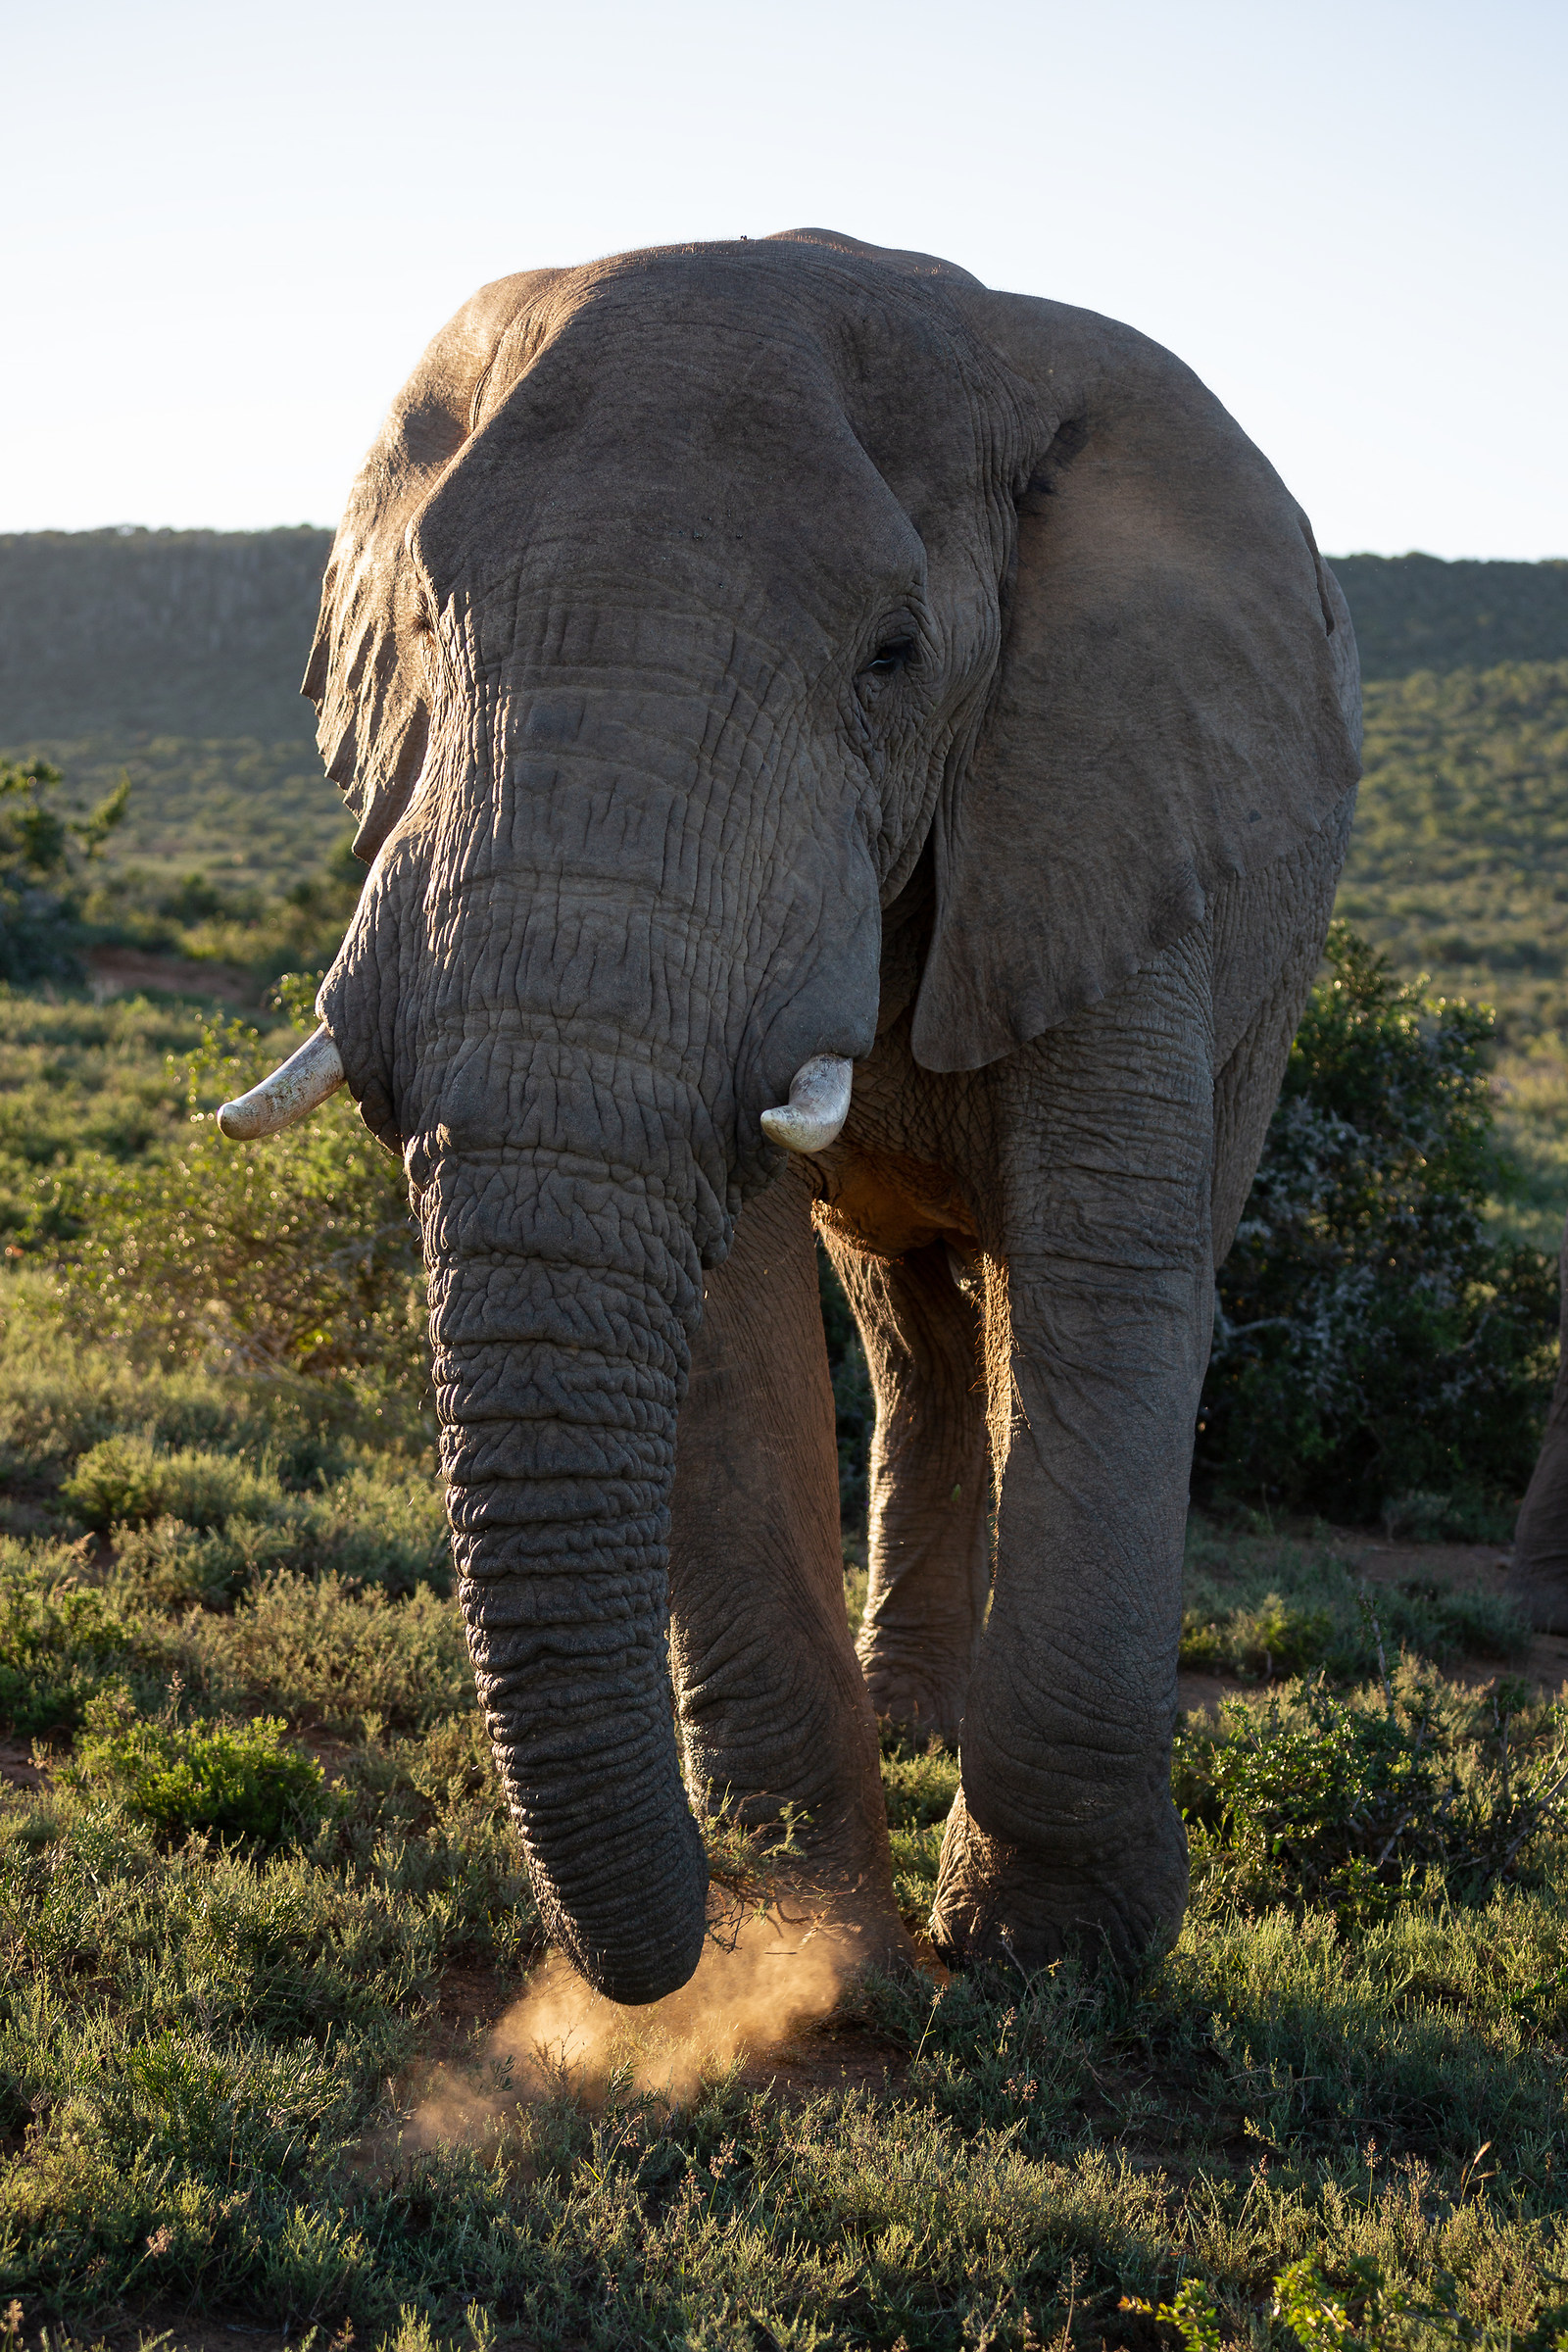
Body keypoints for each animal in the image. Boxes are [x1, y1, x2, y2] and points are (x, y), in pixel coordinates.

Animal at [220, 228, 1362, 2003]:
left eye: (892, 658)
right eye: (423, 616)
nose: (665, 1962)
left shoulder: (1104, 790)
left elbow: (1105, 1271)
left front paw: (1051, 1965)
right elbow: (736, 1308)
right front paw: (810, 1923)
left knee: (1075, 1288)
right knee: (910, 1323)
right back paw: (905, 1720)